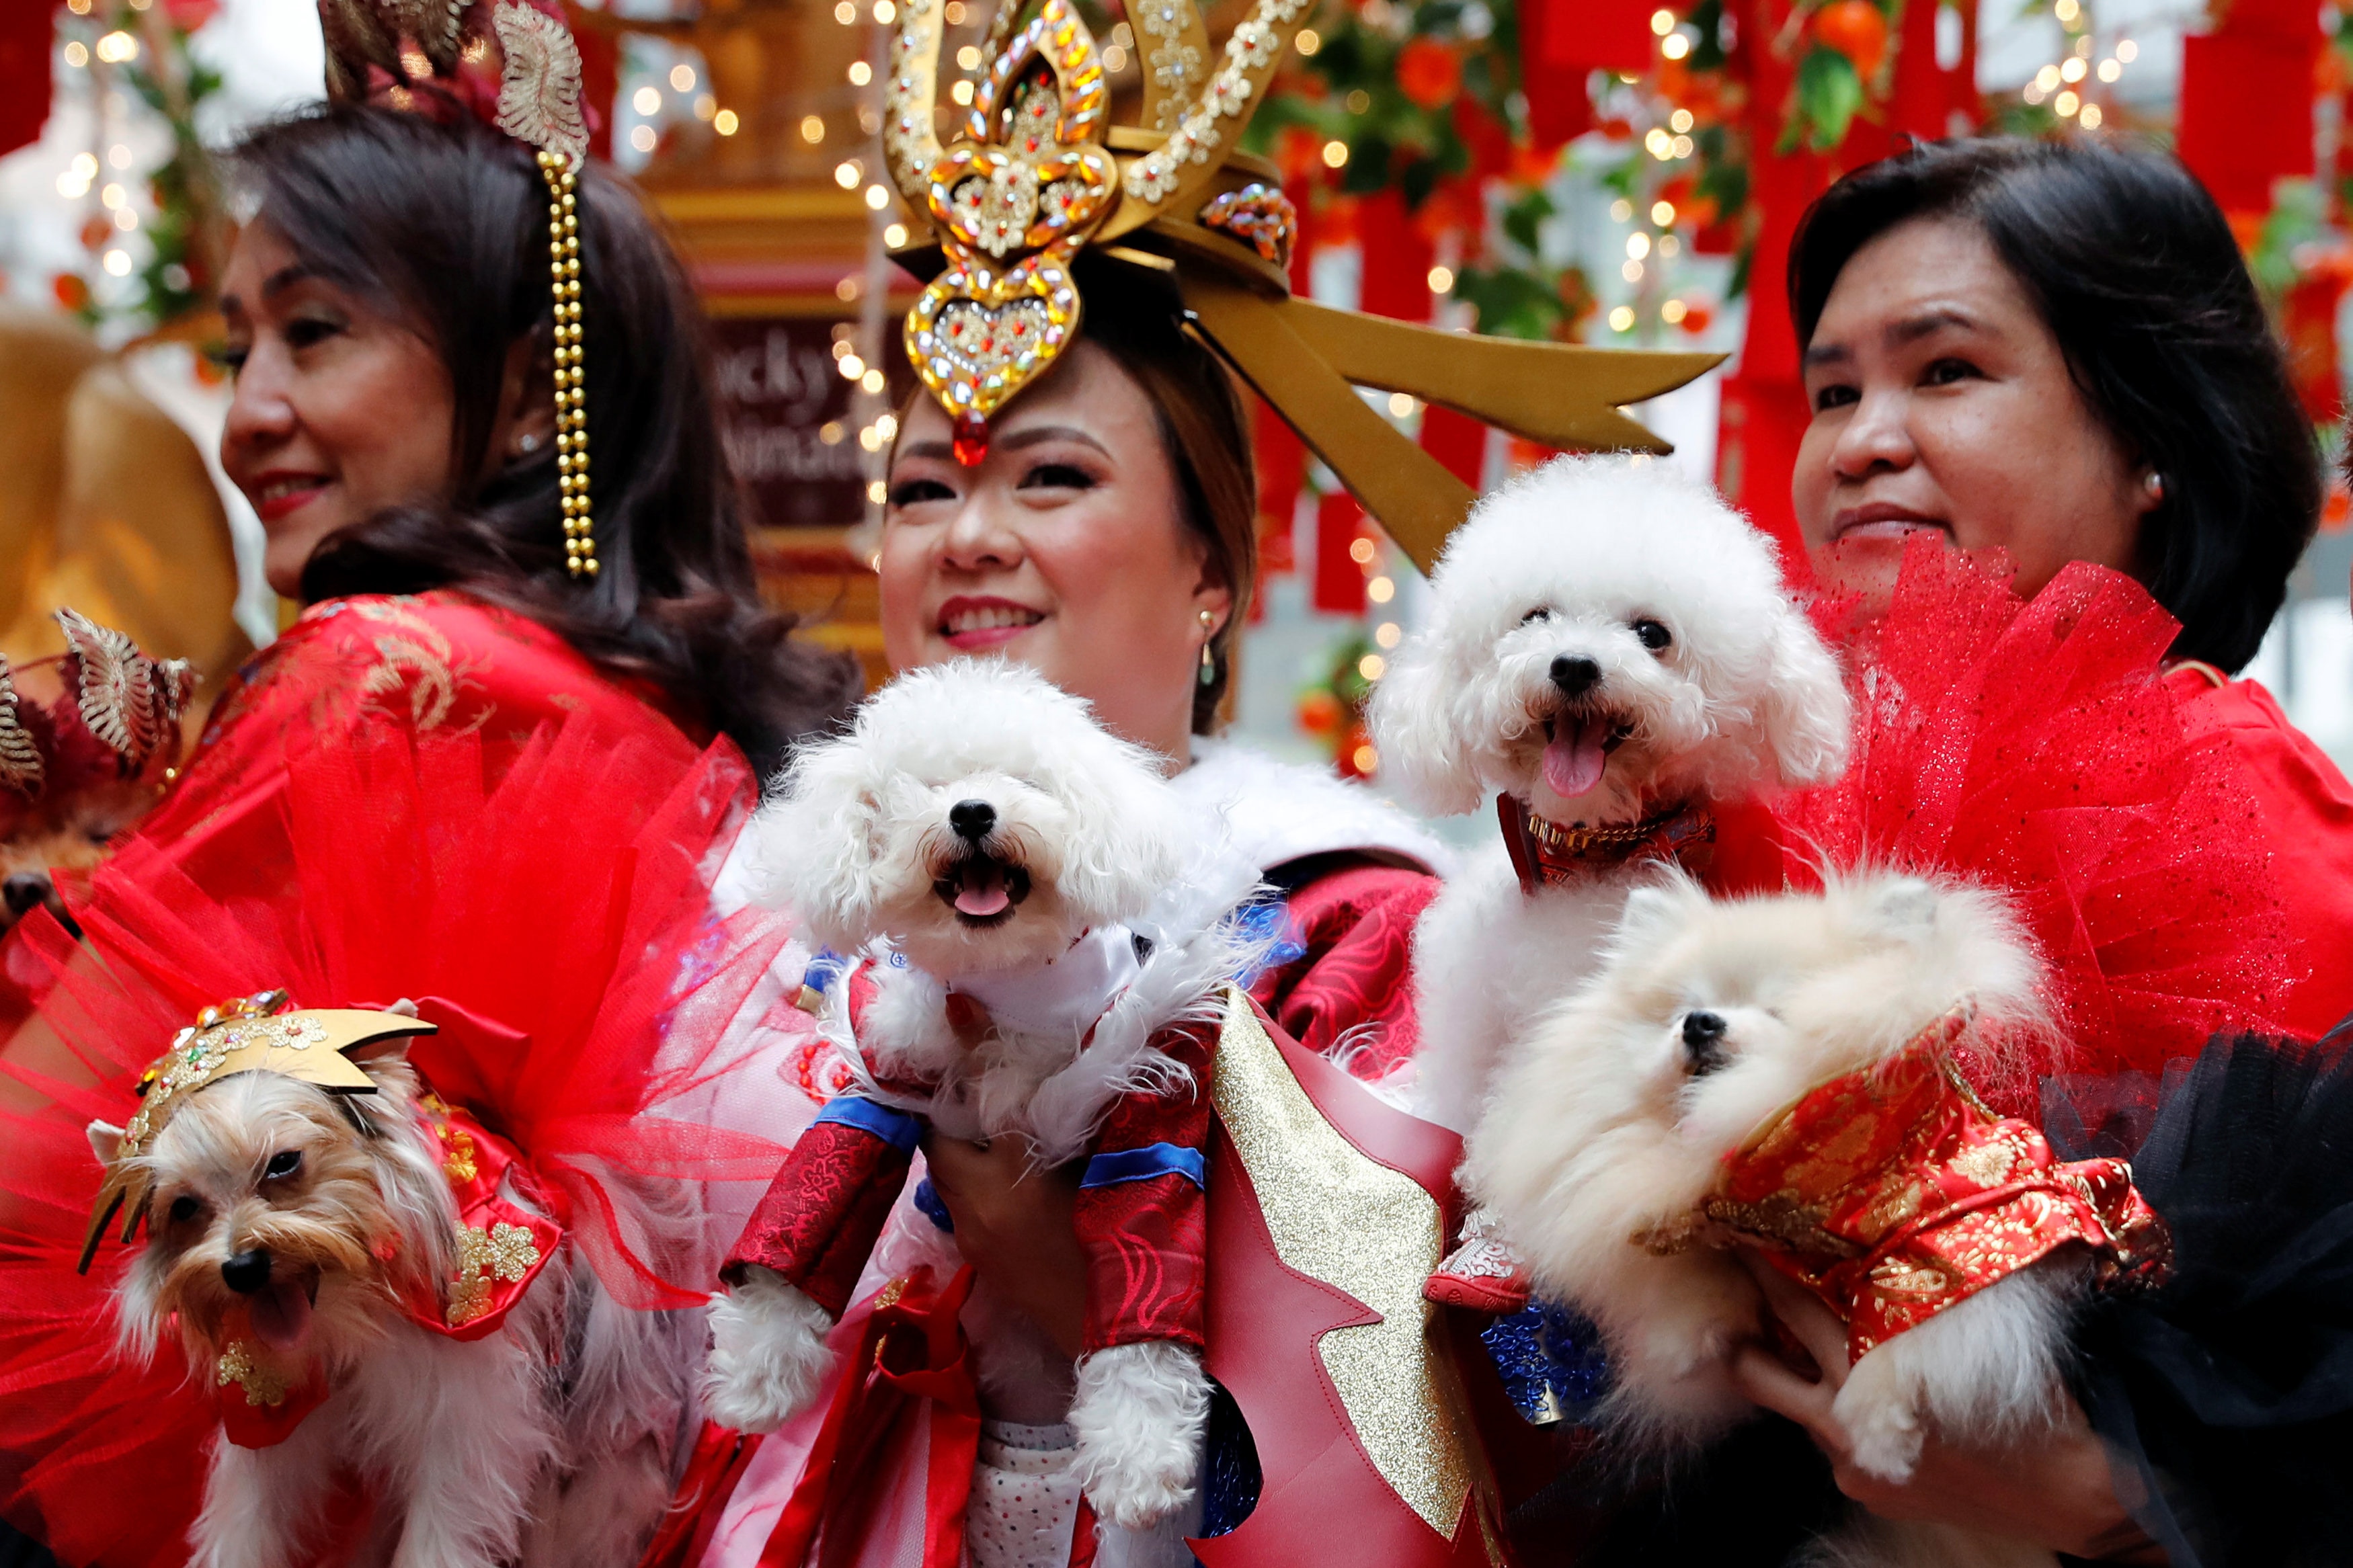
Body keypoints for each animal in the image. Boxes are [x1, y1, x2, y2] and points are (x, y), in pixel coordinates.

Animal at [91, 992, 696, 1568]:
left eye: (284, 1162)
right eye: (184, 1207)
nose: (242, 1268)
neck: (356, 1310)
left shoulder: (468, 1419)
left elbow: (442, 1530)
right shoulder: (272, 1422)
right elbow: (248, 1521)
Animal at [701, 658, 1261, 1542]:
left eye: (1025, 781)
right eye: (923, 788)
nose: (970, 810)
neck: (1013, 985)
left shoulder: (1155, 1084)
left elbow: (1146, 1258)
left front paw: (1138, 1453)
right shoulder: (884, 1074)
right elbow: (819, 1194)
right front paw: (759, 1368)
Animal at [1468, 870, 2118, 1568]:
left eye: (1779, 1010)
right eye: (1680, 1010)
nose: (1699, 1023)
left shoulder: (1972, 1221)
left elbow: (1911, 1316)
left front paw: (1877, 1430)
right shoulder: (1715, 1237)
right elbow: (1697, 1279)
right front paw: (1687, 1337)